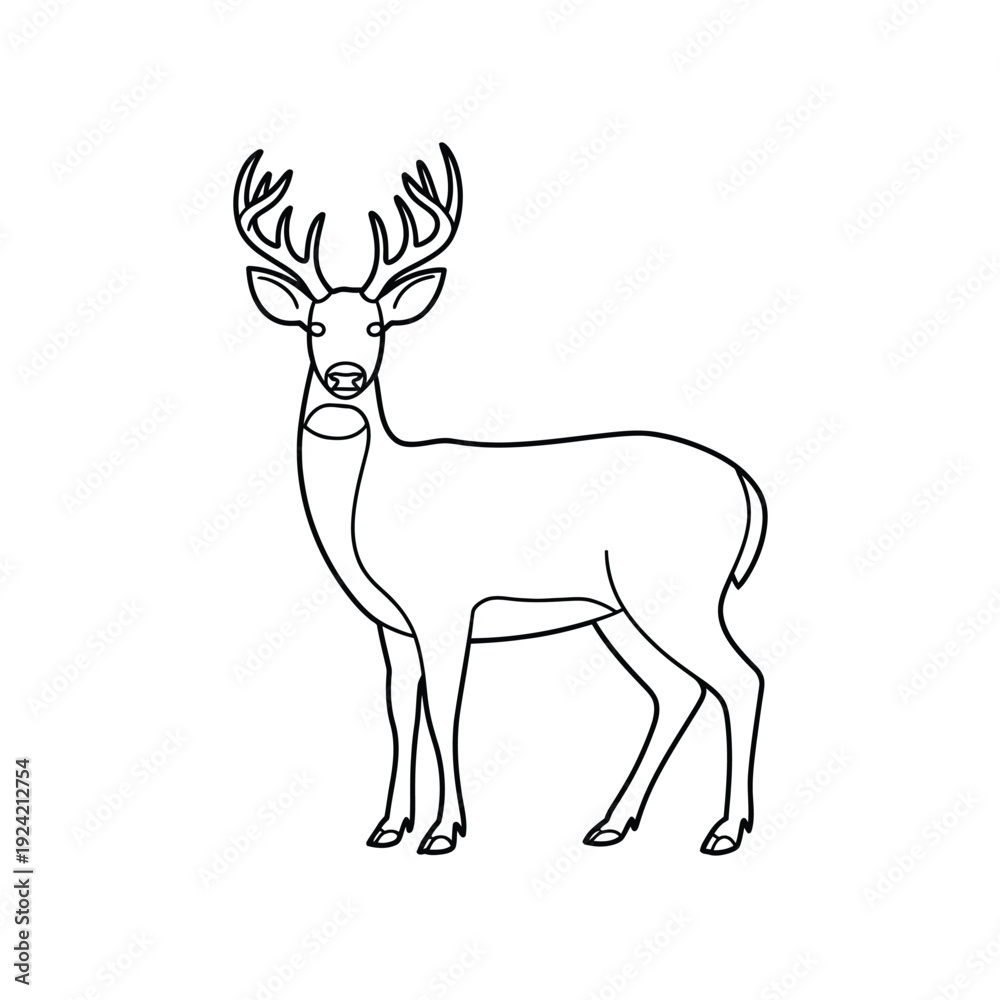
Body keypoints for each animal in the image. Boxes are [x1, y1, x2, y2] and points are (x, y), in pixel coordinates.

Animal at [233, 143, 768, 856]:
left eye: (375, 326)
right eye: (316, 325)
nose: (346, 378)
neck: (370, 509)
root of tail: (747, 486)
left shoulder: (446, 606)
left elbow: (447, 712)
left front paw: (443, 831)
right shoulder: (391, 623)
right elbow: (400, 709)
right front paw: (388, 826)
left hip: (678, 590)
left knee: (740, 678)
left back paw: (726, 830)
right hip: (618, 611)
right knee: (677, 691)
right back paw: (610, 823)